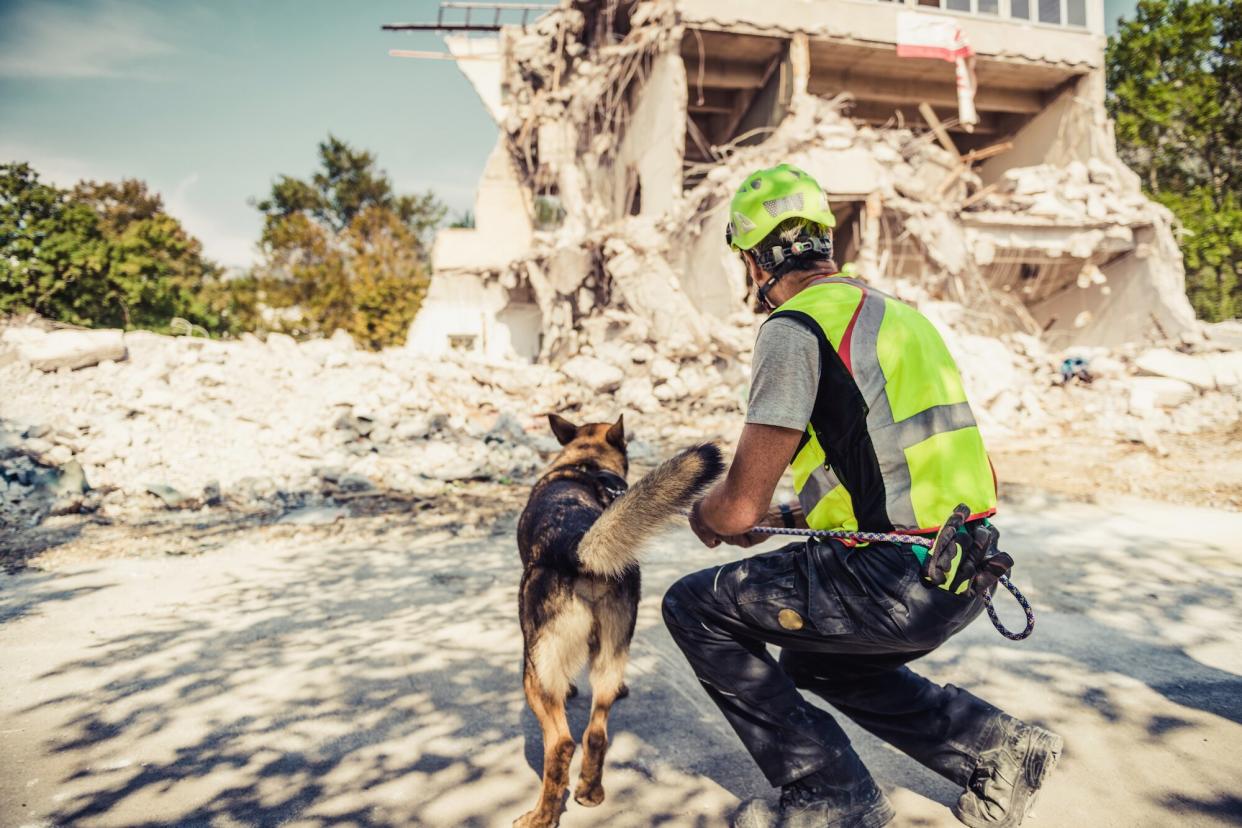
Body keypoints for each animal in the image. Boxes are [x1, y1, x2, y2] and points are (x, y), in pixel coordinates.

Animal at [514, 414, 725, 828]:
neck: (585, 464)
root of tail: (576, 546)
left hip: (535, 673)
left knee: (562, 744)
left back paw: (543, 815)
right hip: (610, 654)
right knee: (596, 734)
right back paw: (590, 791)